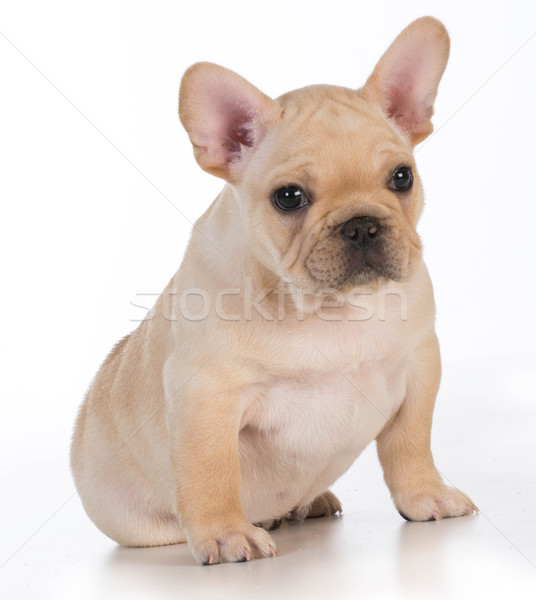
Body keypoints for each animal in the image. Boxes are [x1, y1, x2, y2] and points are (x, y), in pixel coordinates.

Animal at [71, 16, 478, 564]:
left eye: (401, 177)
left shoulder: (419, 365)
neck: (330, 309)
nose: (362, 225)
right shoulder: (206, 394)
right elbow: (211, 470)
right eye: (289, 197)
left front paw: (425, 494)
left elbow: (411, 443)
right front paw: (226, 532)